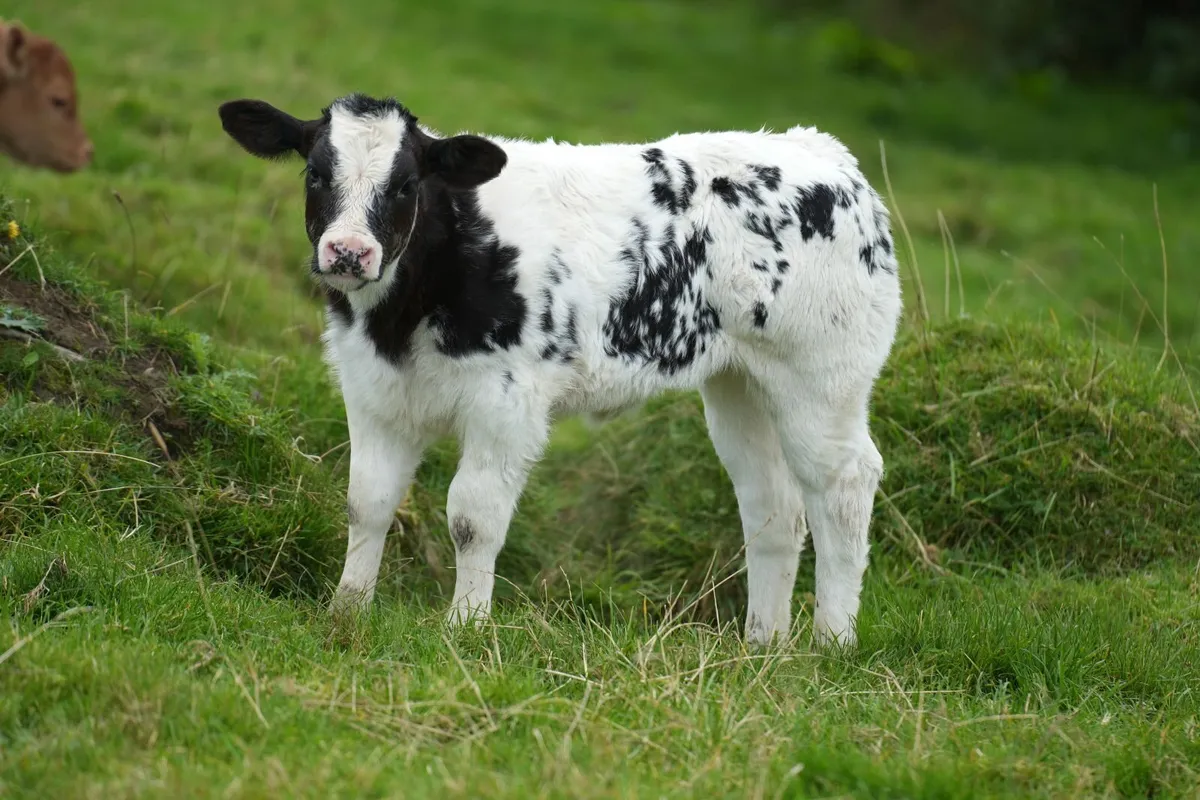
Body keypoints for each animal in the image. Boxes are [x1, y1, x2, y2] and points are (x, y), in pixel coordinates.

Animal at [218, 92, 902, 647]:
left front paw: (465, 627)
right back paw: (762, 644)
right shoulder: (373, 394)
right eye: (315, 172)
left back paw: (830, 643)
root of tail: (818, 150)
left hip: (823, 376)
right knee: (773, 506)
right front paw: (346, 612)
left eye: (407, 183)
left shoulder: (506, 402)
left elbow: (472, 517)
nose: (348, 252)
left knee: (844, 484)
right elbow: (368, 503)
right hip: (740, 383)